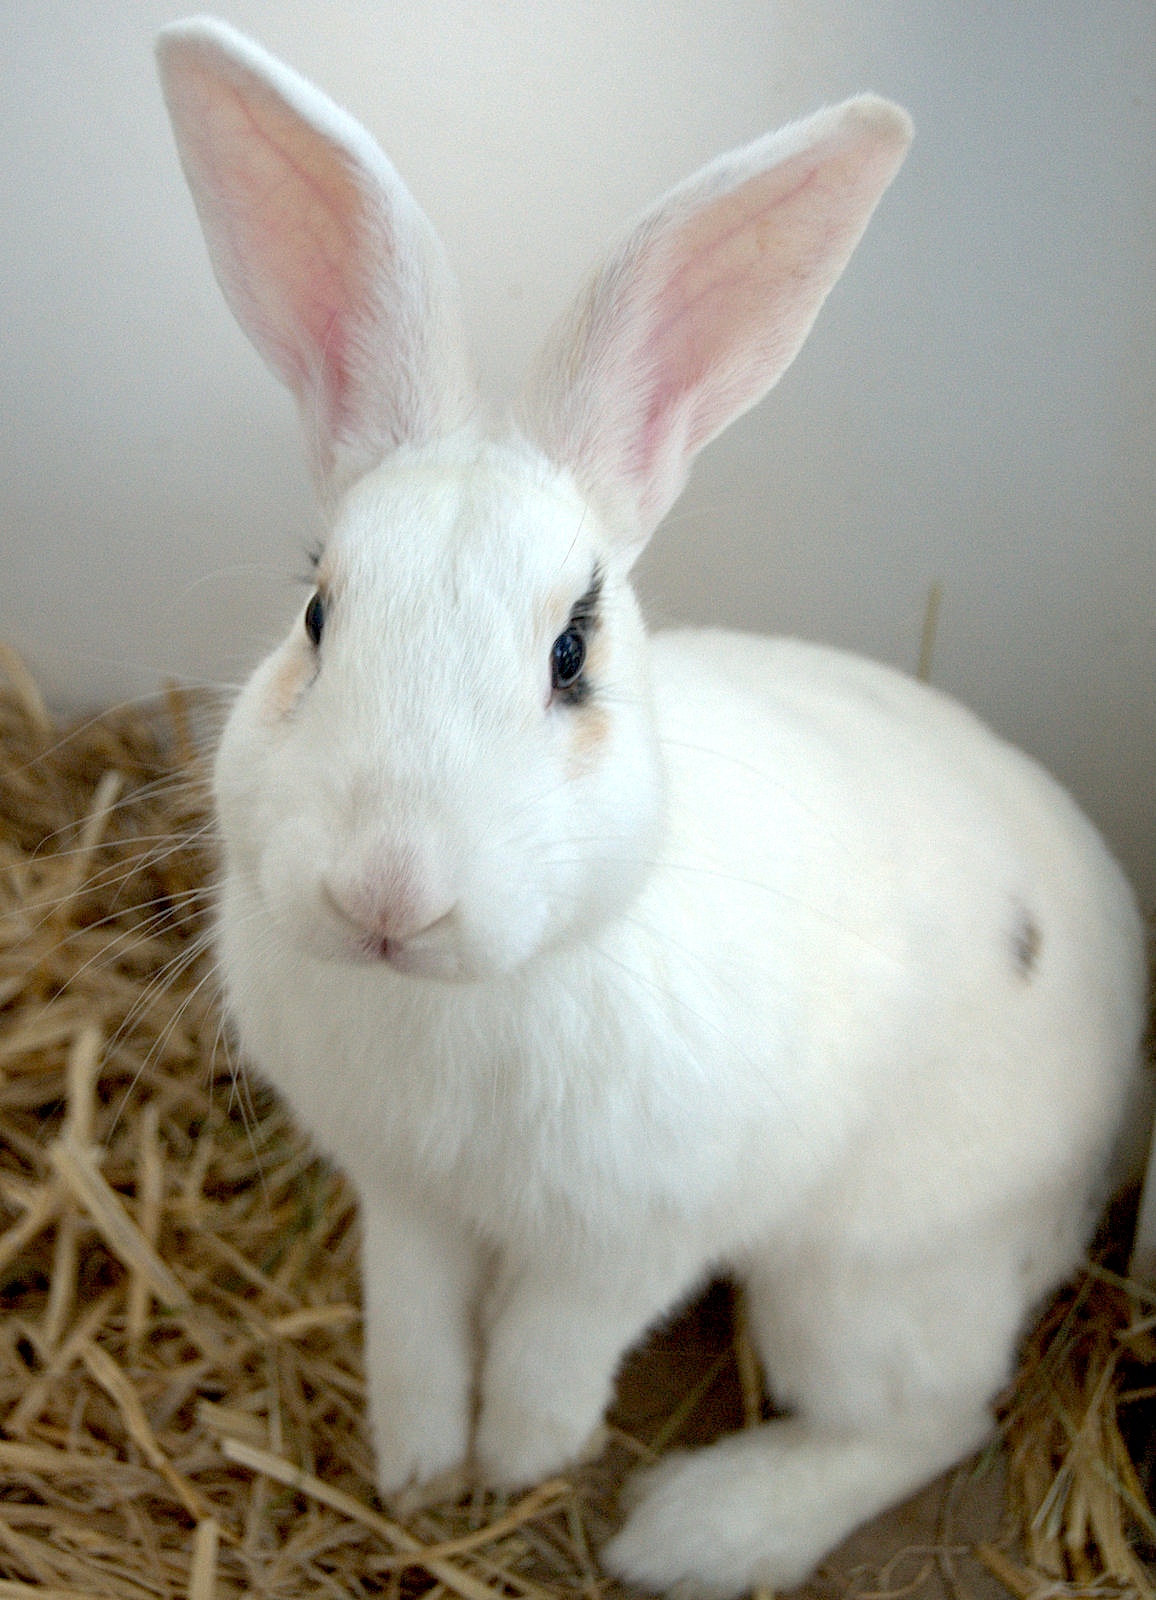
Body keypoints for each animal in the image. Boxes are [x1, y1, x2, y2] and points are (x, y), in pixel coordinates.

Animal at [157, 18, 1146, 1596]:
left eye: (573, 650)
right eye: (316, 613)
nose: (386, 892)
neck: (460, 995)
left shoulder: (637, 1237)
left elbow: (555, 1348)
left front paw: (523, 1462)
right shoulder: (403, 1204)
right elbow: (415, 1330)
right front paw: (418, 1464)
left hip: (865, 1279)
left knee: (932, 1420)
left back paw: (693, 1530)